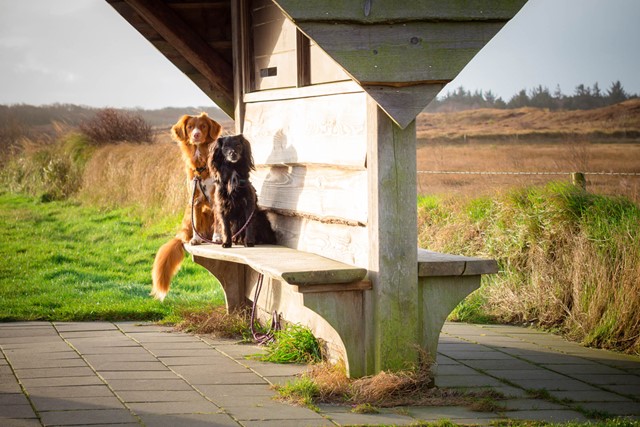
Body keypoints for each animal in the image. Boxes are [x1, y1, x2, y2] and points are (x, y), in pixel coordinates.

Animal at [151, 112, 221, 302]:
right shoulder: (194, 199)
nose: (196, 135)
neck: (201, 166)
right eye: (190, 127)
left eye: (203, 126)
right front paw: (196, 240)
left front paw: (218, 237)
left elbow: (218, 224)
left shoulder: (216, 197)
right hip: (188, 220)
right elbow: (197, 222)